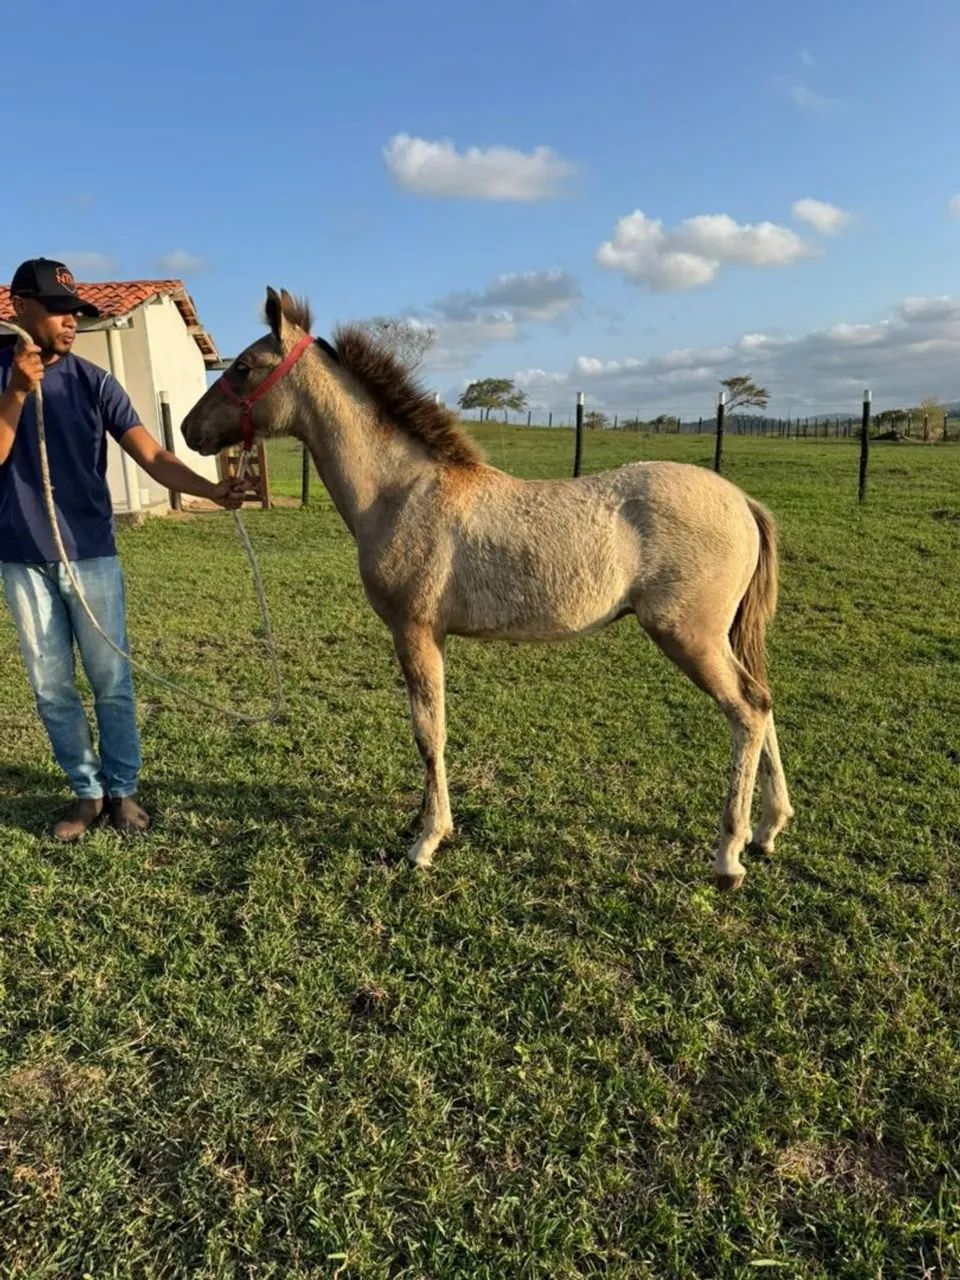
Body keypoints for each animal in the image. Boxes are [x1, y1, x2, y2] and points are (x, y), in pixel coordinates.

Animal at [182, 288, 793, 889]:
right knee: (763, 702)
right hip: (720, 637)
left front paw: (428, 840)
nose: (189, 430)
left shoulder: (414, 631)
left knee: (746, 711)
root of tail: (742, 501)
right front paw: (423, 821)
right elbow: (432, 729)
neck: (403, 491)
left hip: (689, 636)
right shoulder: (432, 635)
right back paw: (767, 830)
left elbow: (428, 731)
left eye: (243, 367)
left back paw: (728, 856)